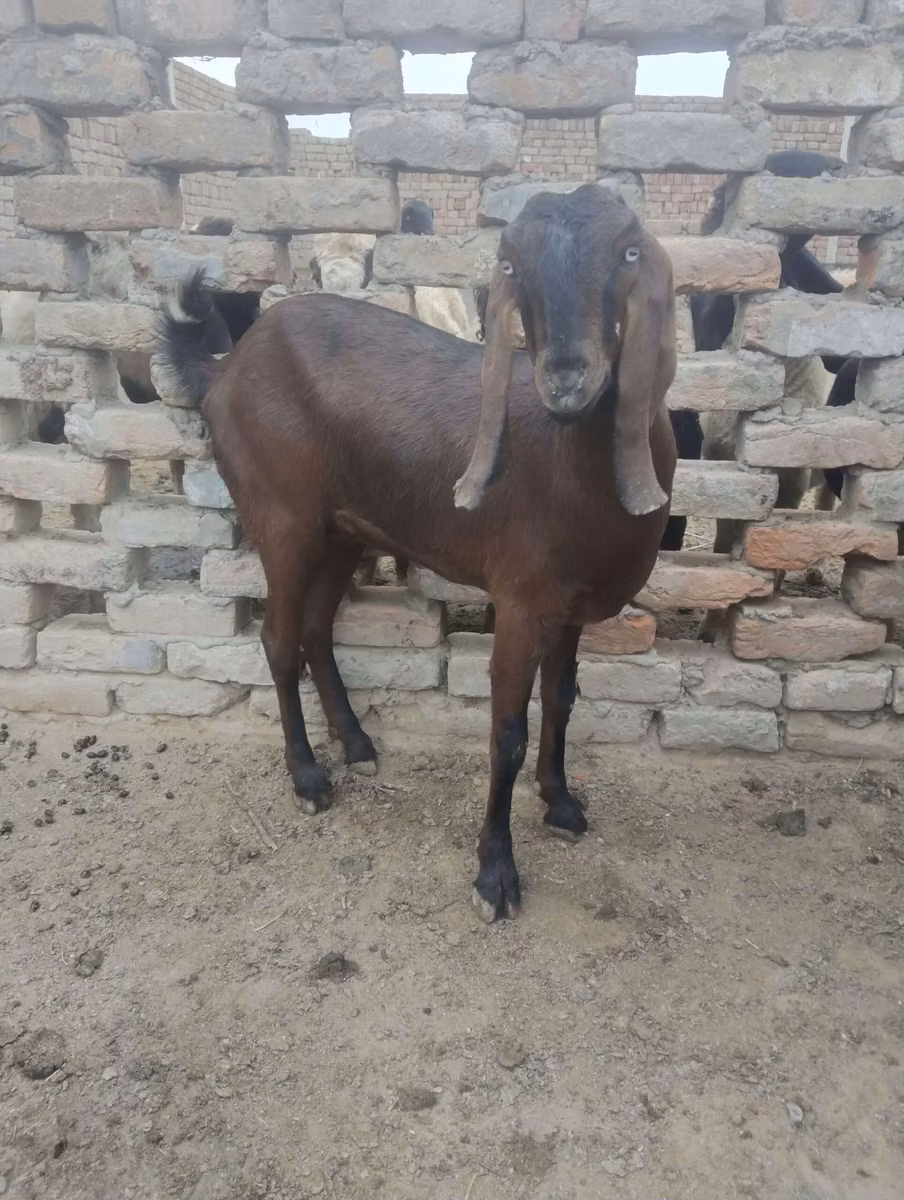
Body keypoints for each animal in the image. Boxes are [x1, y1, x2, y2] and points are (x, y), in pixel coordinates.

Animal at [157, 186, 677, 923]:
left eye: (629, 252)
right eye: (513, 266)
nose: (567, 379)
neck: (570, 462)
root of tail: (225, 368)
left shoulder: (568, 606)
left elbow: (563, 697)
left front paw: (561, 802)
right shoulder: (521, 601)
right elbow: (507, 731)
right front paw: (495, 877)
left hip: (345, 530)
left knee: (316, 630)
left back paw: (357, 744)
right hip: (284, 521)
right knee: (279, 640)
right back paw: (308, 776)